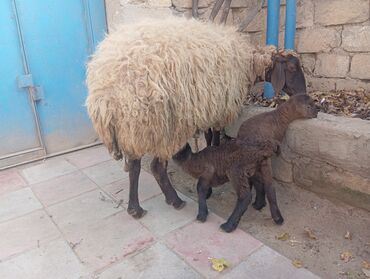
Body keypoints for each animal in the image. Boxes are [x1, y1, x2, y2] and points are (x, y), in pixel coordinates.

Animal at [86, 16, 306, 220]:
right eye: (292, 68)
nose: (304, 93)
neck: (247, 62)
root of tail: (106, 87)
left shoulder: (208, 107)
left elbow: (208, 138)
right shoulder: (219, 107)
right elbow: (215, 139)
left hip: (135, 127)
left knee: (136, 165)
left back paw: (140, 206)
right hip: (153, 123)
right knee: (153, 166)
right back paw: (165, 202)